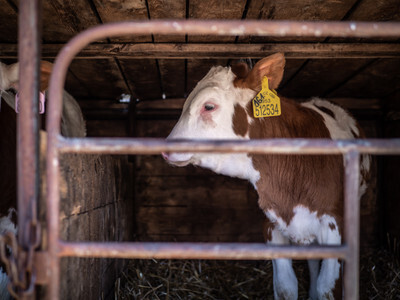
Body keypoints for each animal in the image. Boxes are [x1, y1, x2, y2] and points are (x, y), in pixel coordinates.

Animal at [162, 54, 368, 300]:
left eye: (209, 106)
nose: (165, 148)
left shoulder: (335, 224)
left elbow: (327, 288)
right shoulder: (271, 225)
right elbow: (285, 286)